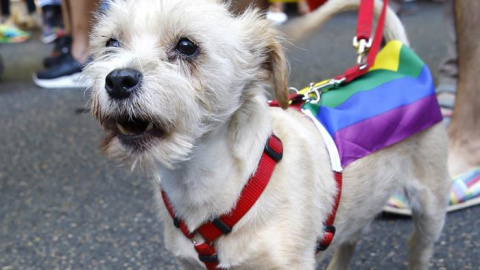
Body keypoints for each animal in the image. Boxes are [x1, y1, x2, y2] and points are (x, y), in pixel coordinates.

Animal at [85, 1, 450, 268]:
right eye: (111, 43)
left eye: (187, 46)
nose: (118, 80)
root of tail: (399, 57)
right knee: (351, 238)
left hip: (431, 206)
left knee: (419, 248)